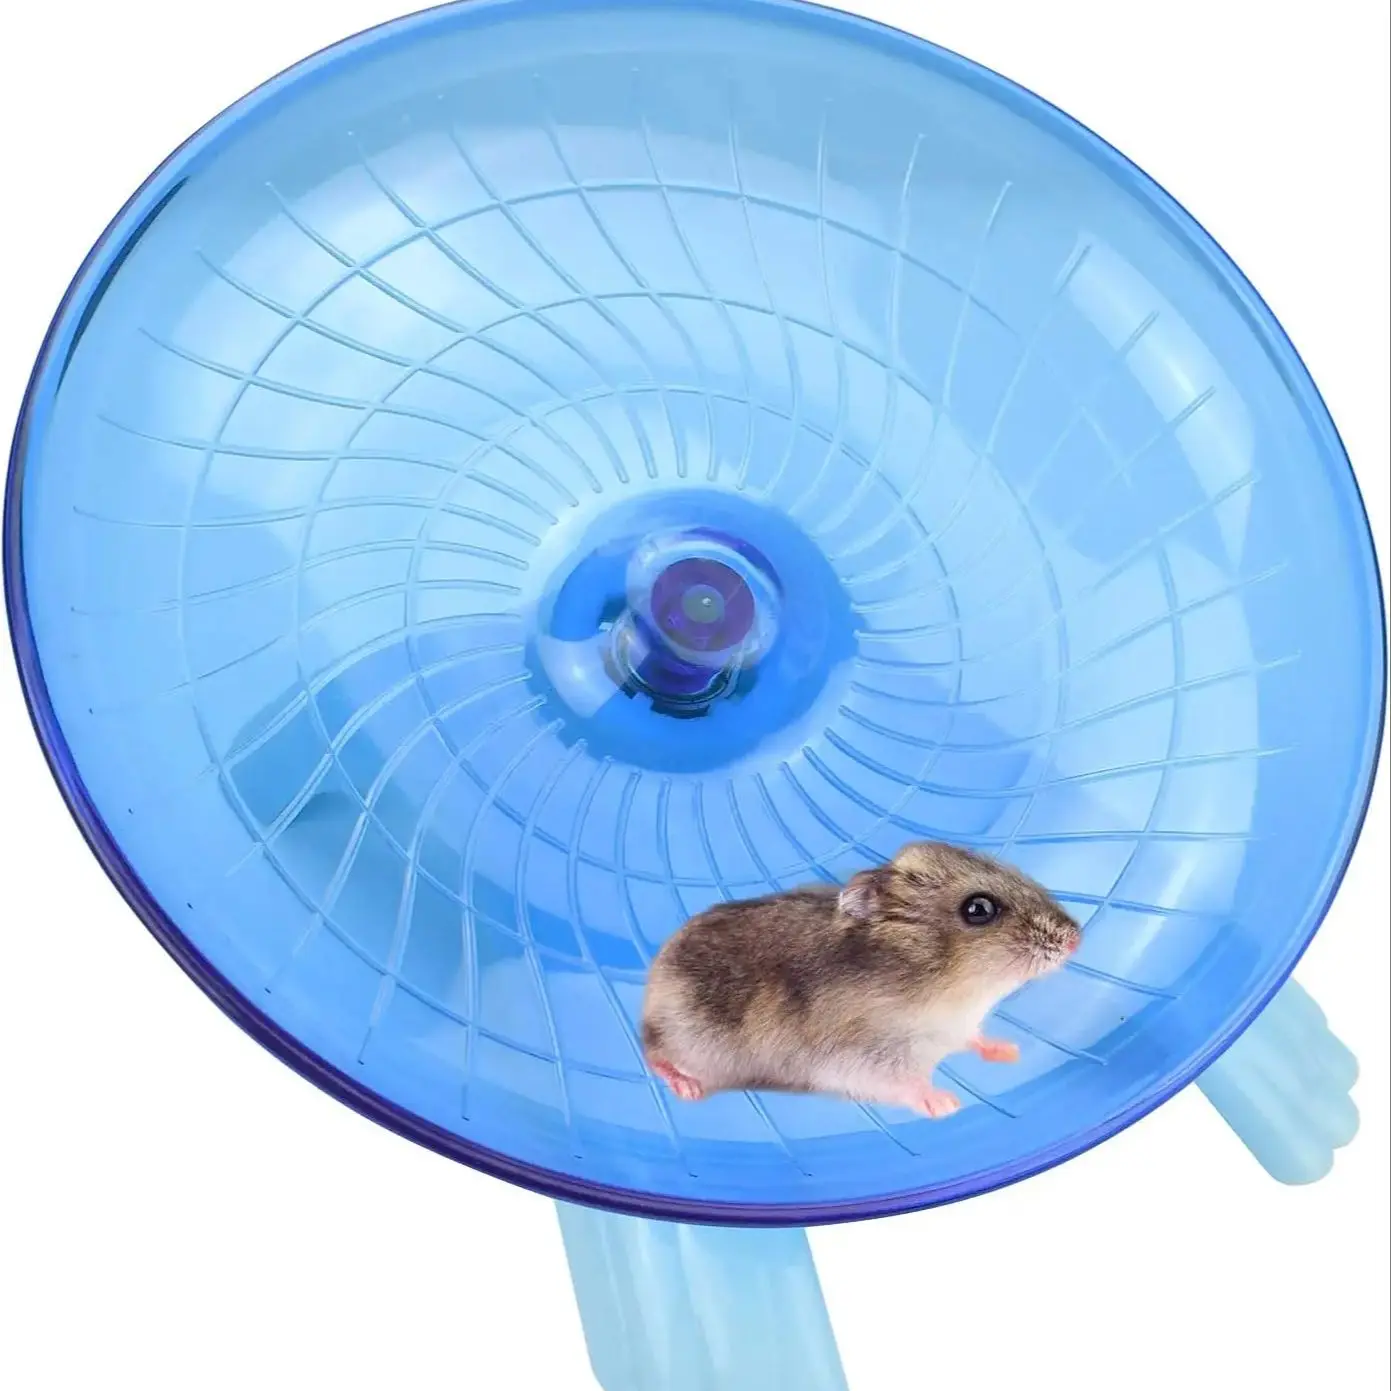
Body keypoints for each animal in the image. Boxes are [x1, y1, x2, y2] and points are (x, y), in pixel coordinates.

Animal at [641, 840, 1080, 1117]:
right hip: (689, 1040)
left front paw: (1009, 1050)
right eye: (979, 909)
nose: (1076, 938)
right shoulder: (863, 1057)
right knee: (655, 1055)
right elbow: (907, 1084)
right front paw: (946, 1104)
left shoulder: (958, 1029)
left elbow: (975, 1039)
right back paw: (687, 1089)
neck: (949, 992)